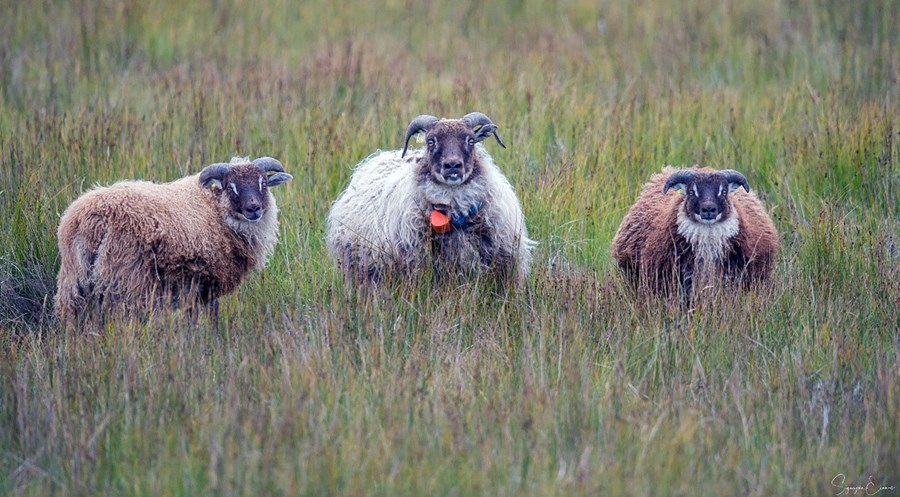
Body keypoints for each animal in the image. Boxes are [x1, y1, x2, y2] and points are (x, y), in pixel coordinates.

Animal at [54, 155, 292, 330]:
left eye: (263, 183)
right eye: (229, 186)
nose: (254, 208)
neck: (216, 209)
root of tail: (96, 218)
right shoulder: (203, 283)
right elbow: (205, 318)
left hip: (74, 278)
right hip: (127, 280)